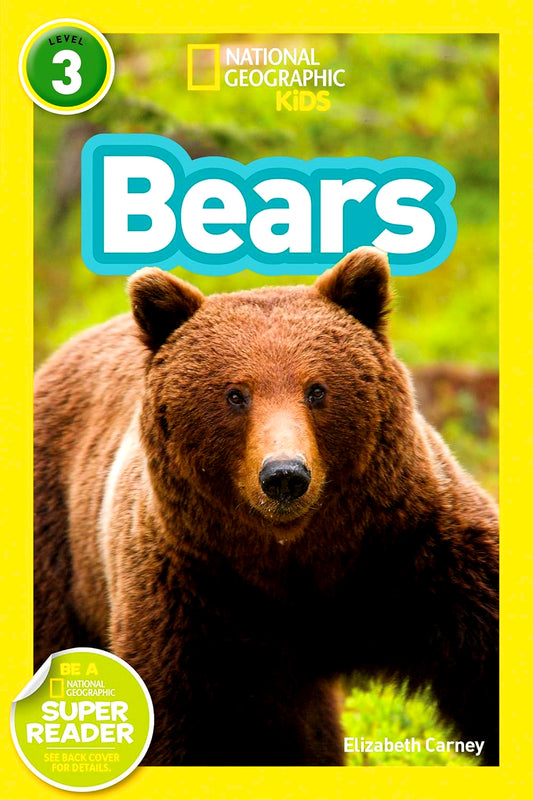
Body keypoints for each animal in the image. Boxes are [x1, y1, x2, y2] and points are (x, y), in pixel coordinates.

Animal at [34, 247, 499, 766]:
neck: (292, 559)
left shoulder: (413, 552)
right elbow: (171, 720)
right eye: (235, 394)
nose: (285, 475)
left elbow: (485, 649)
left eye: (317, 389)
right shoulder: (192, 595)